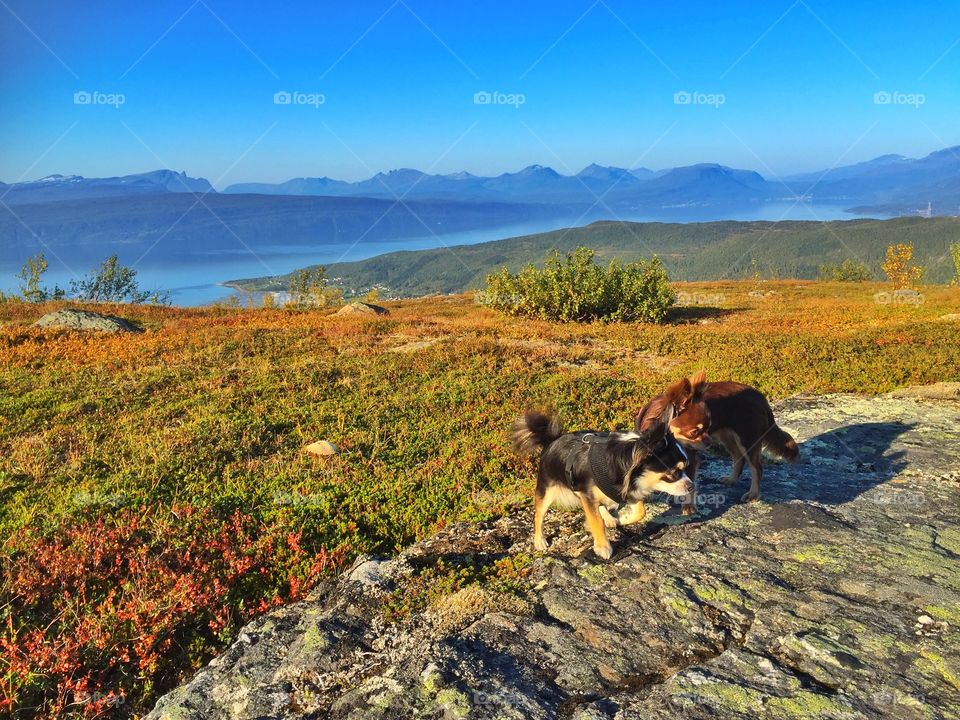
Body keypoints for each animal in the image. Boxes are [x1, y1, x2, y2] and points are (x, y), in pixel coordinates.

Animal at [510, 408, 688, 560]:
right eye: (674, 473)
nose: (691, 485)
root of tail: (551, 441)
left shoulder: (625, 490)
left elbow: (640, 512)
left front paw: (622, 519)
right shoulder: (587, 495)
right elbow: (596, 521)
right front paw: (603, 546)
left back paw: (609, 518)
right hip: (547, 490)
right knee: (539, 515)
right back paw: (539, 540)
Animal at [636, 374, 796, 510]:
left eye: (708, 427)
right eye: (695, 432)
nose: (709, 441)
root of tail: (761, 397)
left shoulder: (689, 458)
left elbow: (690, 483)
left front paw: (688, 507)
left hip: (747, 440)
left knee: (757, 467)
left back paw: (753, 494)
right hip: (728, 438)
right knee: (739, 458)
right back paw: (731, 479)